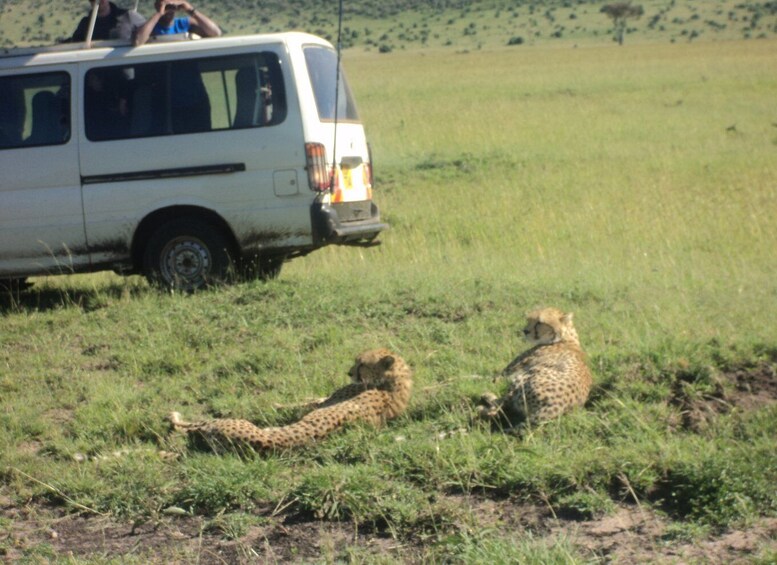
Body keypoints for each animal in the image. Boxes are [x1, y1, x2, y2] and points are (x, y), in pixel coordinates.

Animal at [168, 348, 412, 450]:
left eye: (361, 364)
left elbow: (300, 404)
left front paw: (273, 404)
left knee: (190, 425)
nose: (349, 372)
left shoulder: (323, 402)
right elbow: (308, 400)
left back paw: (173, 415)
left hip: (217, 424)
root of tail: (265, 442)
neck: (393, 383)